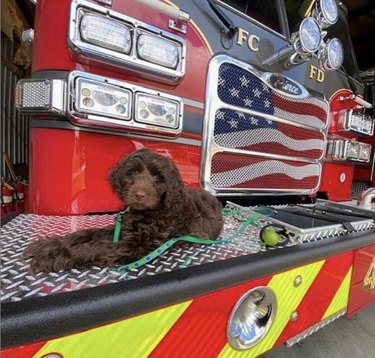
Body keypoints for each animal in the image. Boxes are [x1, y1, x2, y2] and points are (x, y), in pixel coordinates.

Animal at [23, 150, 225, 272]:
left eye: (158, 178)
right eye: (133, 173)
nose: (140, 195)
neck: (146, 213)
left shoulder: (136, 246)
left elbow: (94, 247)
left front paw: (50, 256)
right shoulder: (122, 228)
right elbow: (87, 233)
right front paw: (47, 245)